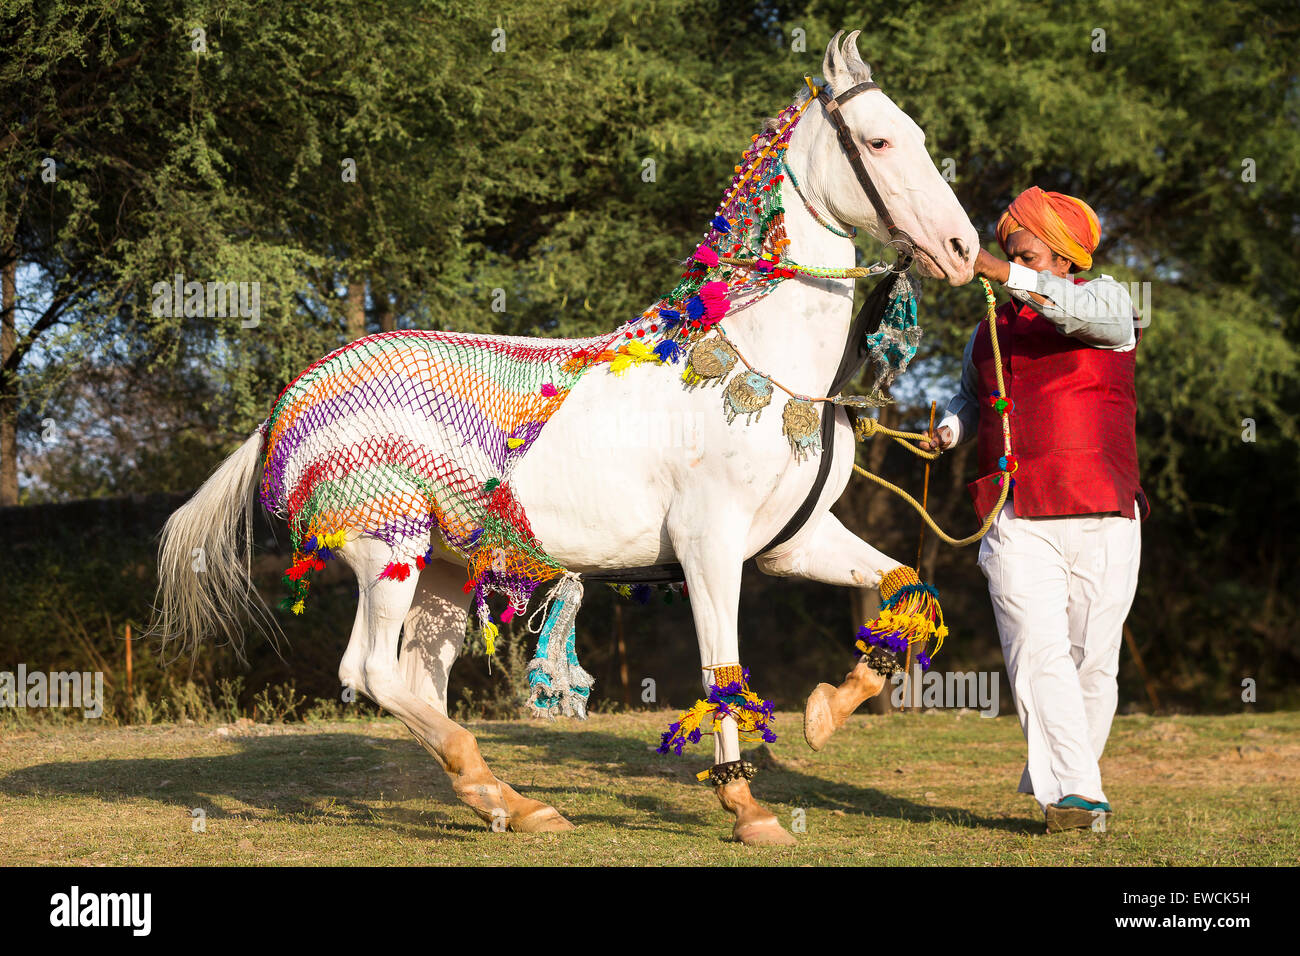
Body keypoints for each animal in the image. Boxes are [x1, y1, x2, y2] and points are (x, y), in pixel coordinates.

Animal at [150, 31, 978, 846]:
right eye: (877, 140)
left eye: (918, 135)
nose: (963, 247)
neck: (764, 366)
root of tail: (283, 408)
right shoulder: (710, 546)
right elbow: (723, 671)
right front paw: (746, 806)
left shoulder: (789, 542)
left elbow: (903, 582)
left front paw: (825, 713)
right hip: (388, 551)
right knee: (373, 674)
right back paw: (506, 795)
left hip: (443, 573)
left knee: (418, 684)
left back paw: (506, 803)